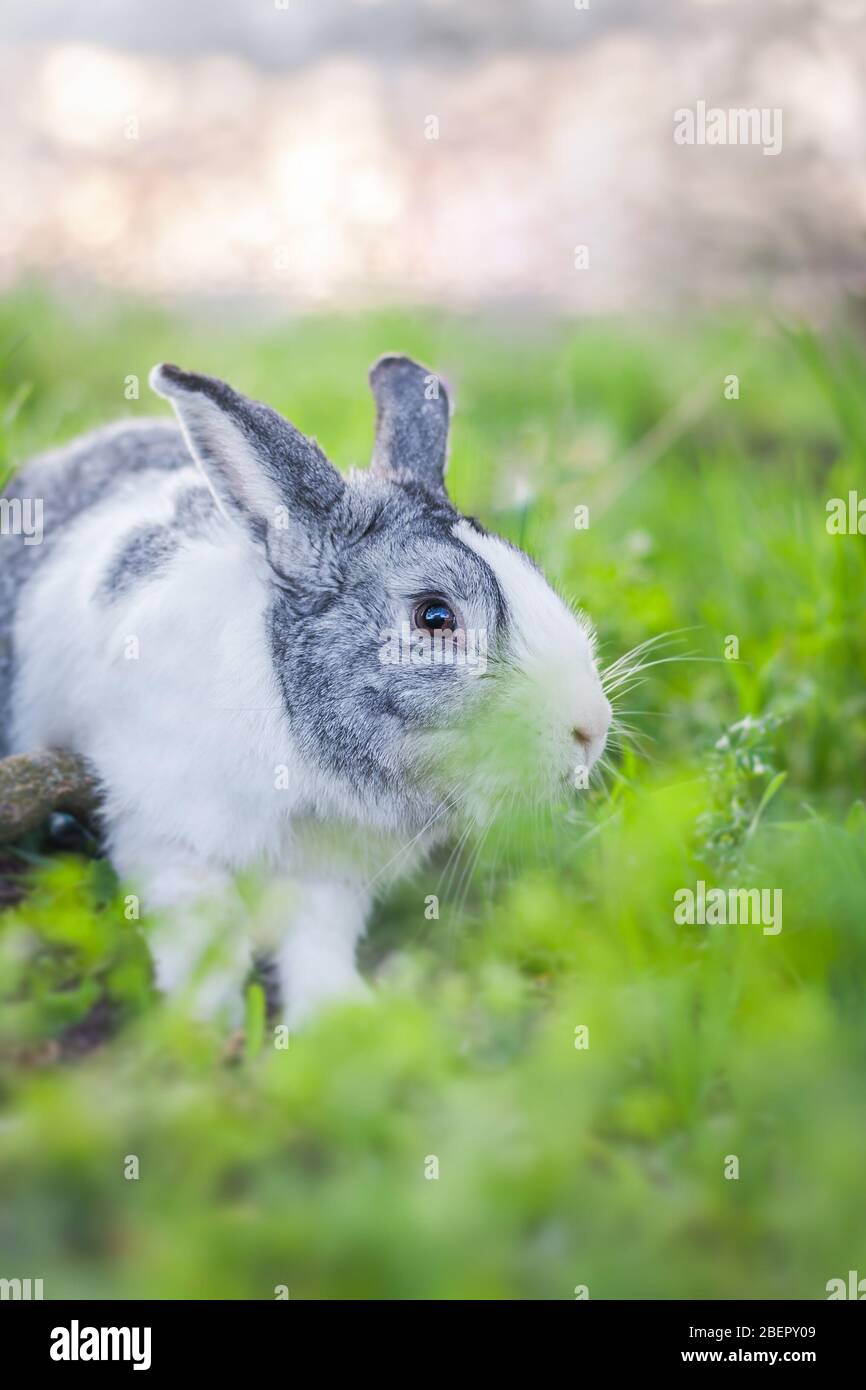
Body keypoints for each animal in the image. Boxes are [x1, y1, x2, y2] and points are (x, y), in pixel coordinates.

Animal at [0, 355, 611, 1027]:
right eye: (433, 616)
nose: (592, 729)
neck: (295, 728)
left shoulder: (330, 879)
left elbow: (315, 941)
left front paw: (337, 1018)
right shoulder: (165, 831)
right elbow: (207, 931)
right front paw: (206, 1025)